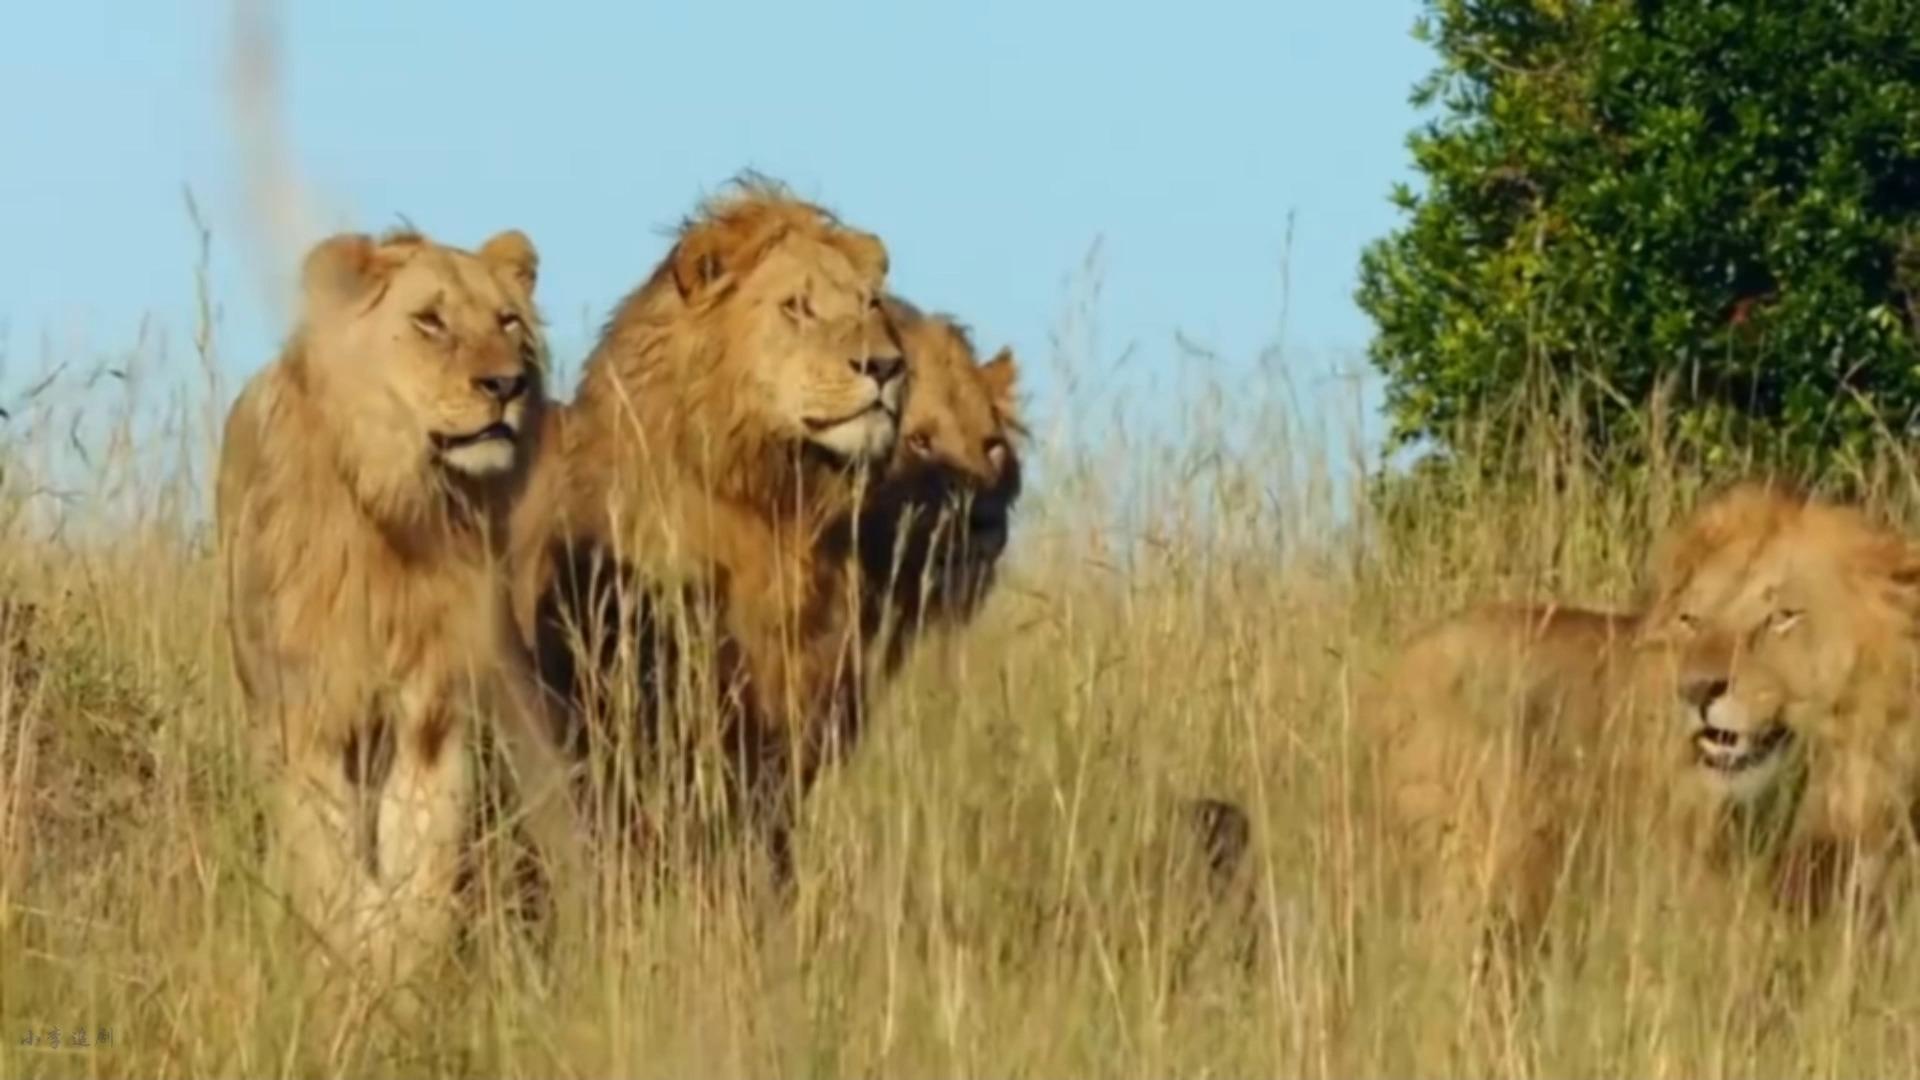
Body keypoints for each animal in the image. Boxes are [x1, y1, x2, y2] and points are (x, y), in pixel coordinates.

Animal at [215, 224, 579, 991]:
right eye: (430, 322)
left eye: (508, 322)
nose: (507, 385)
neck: (402, 509)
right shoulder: (305, 717)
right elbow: (329, 863)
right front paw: (347, 960)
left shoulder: (430, 719)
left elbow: (421, 866)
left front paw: (400, 970)